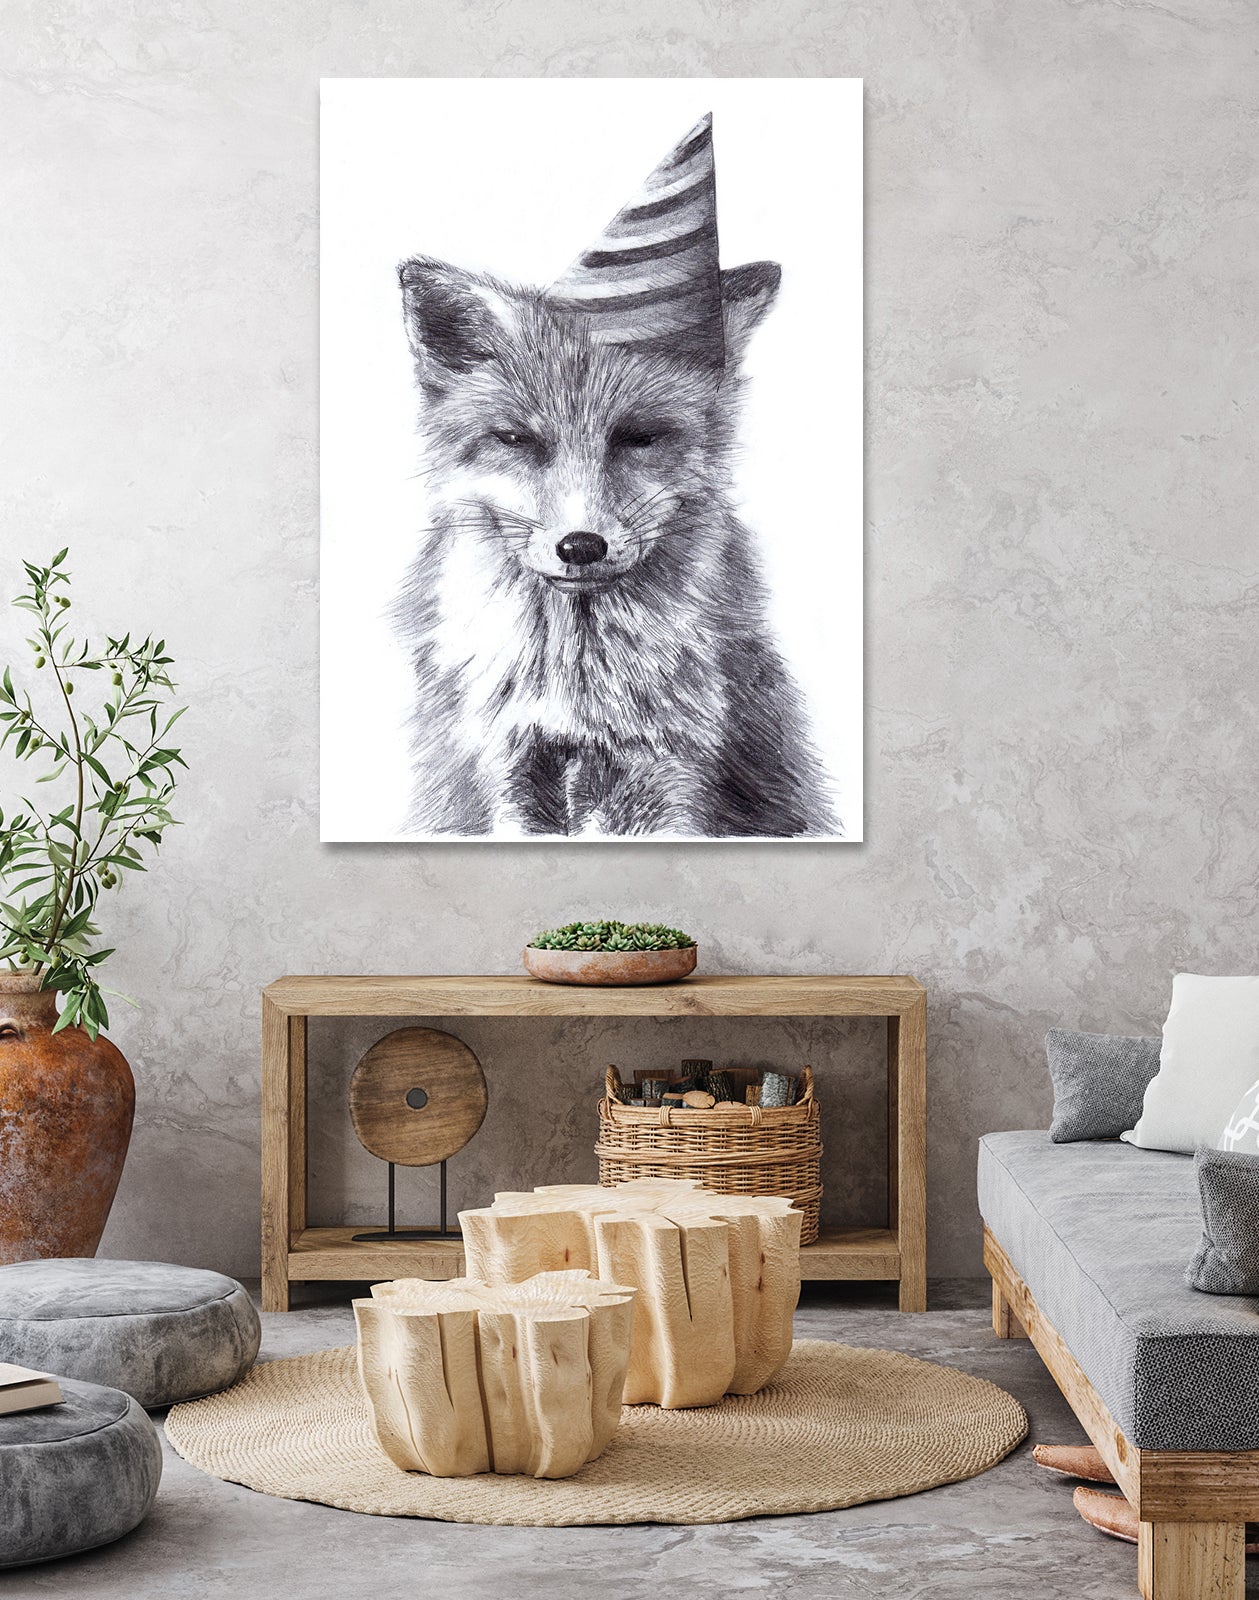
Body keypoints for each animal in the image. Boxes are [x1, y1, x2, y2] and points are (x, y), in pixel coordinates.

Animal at [392, 254, 840, 838]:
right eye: (515, 440)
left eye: (639, 437)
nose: (581, 546)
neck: (576, 692)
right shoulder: (504, 767)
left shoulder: (670, 769)